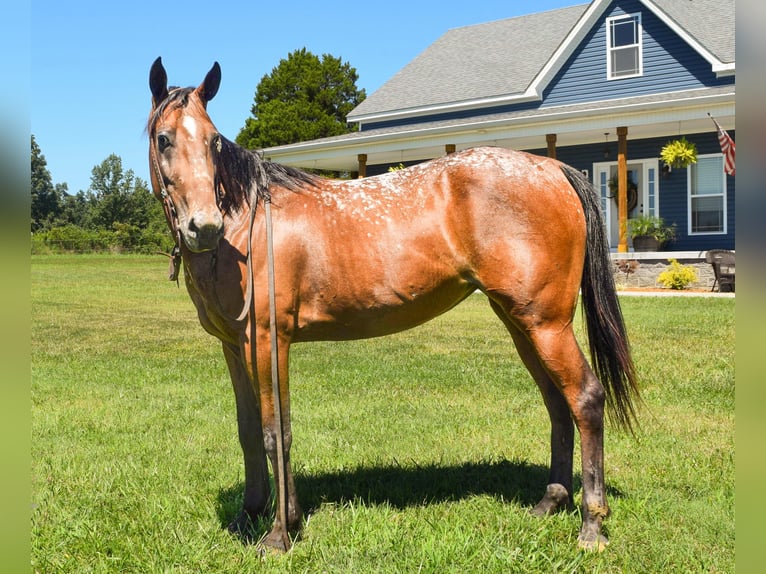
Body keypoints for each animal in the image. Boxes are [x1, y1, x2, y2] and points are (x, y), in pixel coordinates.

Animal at [147, 57, 640, 552]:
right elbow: (248, 431)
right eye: (164, 138)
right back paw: (549, 503)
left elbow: (275, 433)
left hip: (547, 325)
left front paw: (280, 532)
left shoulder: (269, 341)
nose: (204, 226)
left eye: (213, 140)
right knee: (557, 403)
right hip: (522, 324)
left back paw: (591, 526)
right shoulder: (235, 346)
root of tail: (552, 168)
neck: (245, 225)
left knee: (586, 399)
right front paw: (248, 515)